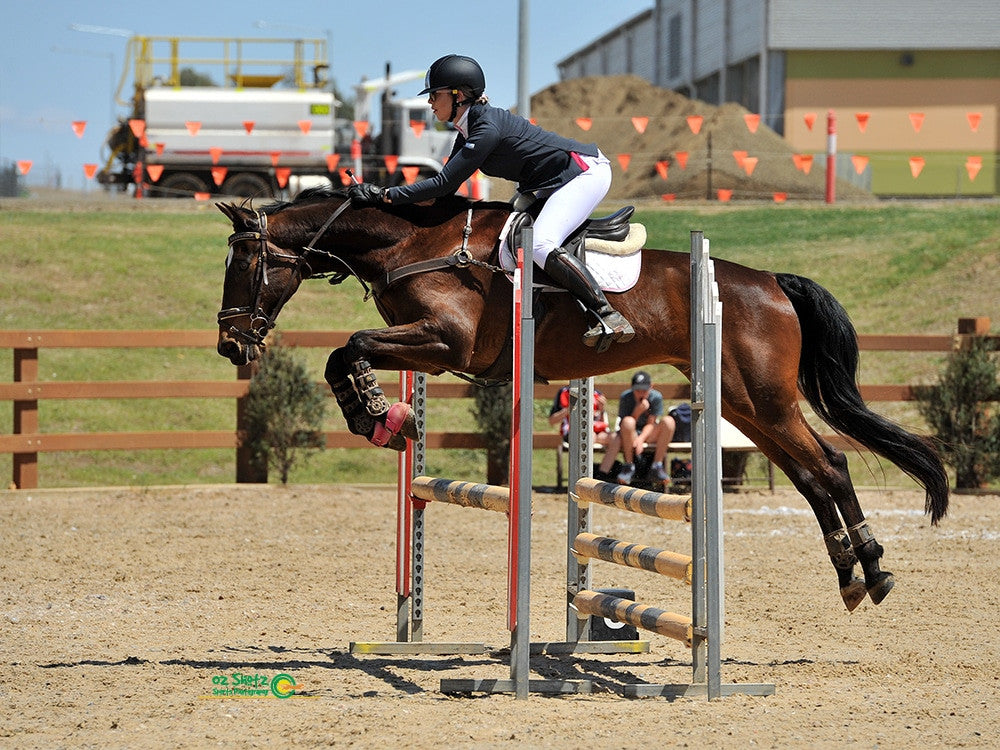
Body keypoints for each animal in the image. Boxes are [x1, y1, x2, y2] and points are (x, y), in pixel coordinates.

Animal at [216, 187, 949, 612]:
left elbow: (352, 347)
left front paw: (377, 413)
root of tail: (770, 280)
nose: (230, 345)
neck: (414, 241)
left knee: (827, 465)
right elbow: (347, 352)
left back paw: (872, 570)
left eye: (243, 264)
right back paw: (853, 574)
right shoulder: (429, 347)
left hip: (761, 399)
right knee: (812, 471)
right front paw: (383, 417)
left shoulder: (447, 343)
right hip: (743, 404)